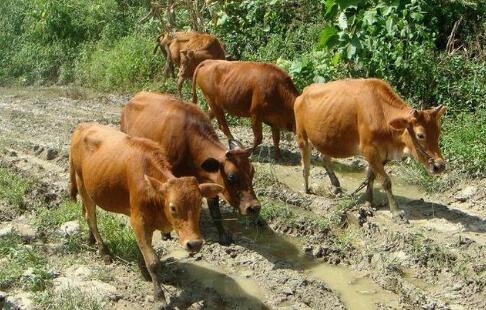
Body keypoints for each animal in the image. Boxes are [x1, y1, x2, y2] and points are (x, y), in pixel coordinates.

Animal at [69, 123, 224, 306]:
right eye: (173, 207)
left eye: (200, 205)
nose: (195, 244)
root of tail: (83, 126)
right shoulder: (139, 222)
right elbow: (153, 261)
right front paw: (159, 296)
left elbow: (143, 249)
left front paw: (143, 271)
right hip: (82, 185)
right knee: (91, 218)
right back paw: (104, 252)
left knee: (86, 214)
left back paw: (90, 239)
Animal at [119, 91, 260, 245]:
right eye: (231, 176)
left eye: (252, 173)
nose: (254, 207)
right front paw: (165, 232)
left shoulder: (210, 180)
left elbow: (215, 210)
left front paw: (222, 235)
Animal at [294, 78, 446, 220]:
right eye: (420, 135)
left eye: (438, 132)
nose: (440, 166)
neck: (383, 116)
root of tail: (303, 93)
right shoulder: (369, 150)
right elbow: (385, 181)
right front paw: (396, 212)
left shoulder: (381, 154)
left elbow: (371, 177)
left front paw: (368, 202)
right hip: (302, 137)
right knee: (306, 166)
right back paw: (307, 190)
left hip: (327, 140)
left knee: (324, 158)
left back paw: (336, 187)